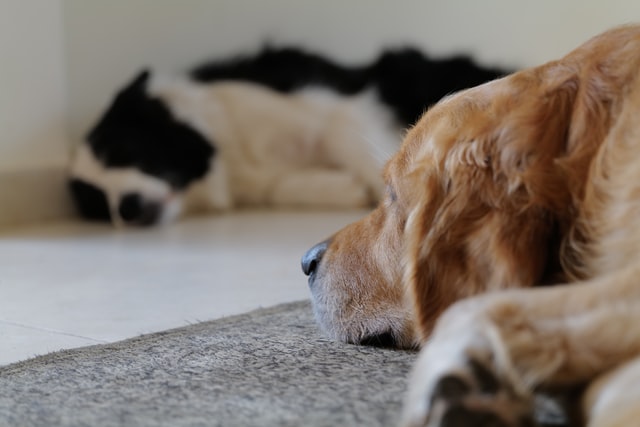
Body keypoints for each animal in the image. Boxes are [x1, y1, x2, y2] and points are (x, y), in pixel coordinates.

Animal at [69, 46, 510, 226]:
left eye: (123, 150)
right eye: (97, 205)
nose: (126, 209)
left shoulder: (332, 105)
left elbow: (357, 145)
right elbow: (278, 186)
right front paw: (342, 189)